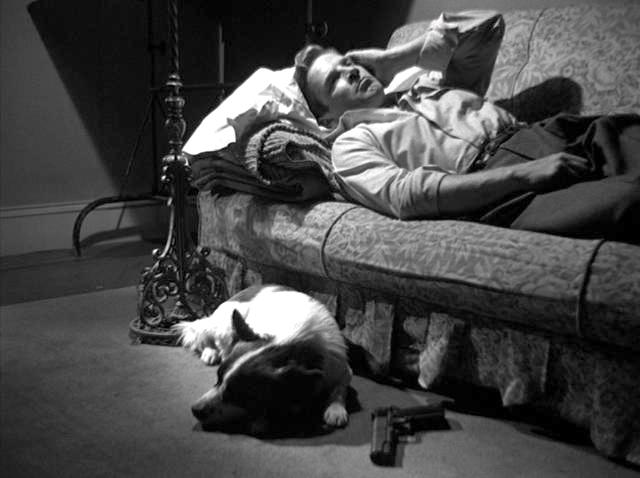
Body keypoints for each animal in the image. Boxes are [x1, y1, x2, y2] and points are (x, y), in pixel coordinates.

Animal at [174, 284, 352, 436]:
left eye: (237, 394)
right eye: (217, 379)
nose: (195, 410)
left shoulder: (340, 369)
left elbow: (339, 389)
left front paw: (336, 410)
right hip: (225, 326)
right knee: (206, 337)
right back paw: (210, 352)